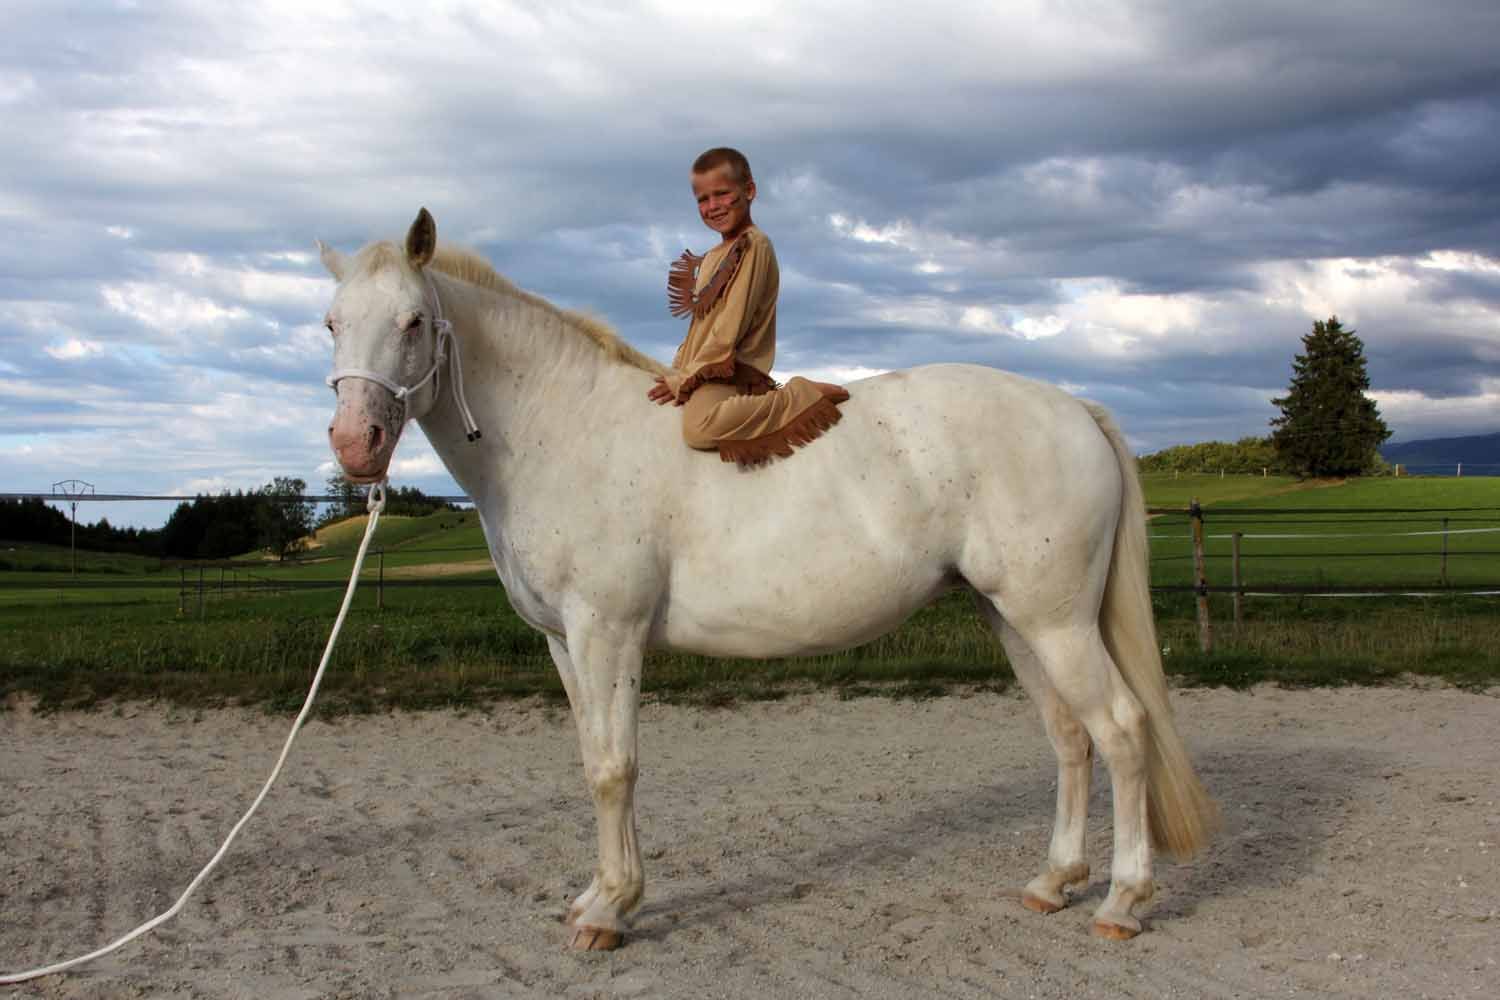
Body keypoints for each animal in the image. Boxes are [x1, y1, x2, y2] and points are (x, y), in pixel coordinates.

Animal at [319, 208, 1218, 950]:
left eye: (414, 321)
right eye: (331, 322)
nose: (356, 444)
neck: (561, 431)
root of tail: (1073, 409)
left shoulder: (607, 634)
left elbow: (616, 769)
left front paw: (611, 911)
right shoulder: (563, 645)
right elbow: (593, 760)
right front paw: (598, 896)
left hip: (1057, 622)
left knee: (1122, 730)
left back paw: (1122, 901)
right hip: (1015, 619)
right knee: (1070, 736)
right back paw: (1054, 882)